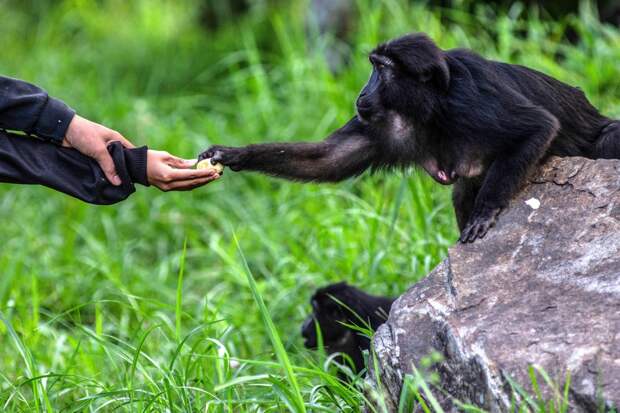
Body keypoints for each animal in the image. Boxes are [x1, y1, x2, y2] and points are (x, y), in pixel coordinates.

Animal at [200, 35, 620, 243]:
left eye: (381, 70)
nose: (360, 93)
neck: (431, 106)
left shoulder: (470, 98)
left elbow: (538, 127)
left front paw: (486, 212)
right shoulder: (383, 123)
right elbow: (328, 158)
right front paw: (231, 155)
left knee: (607, 141)